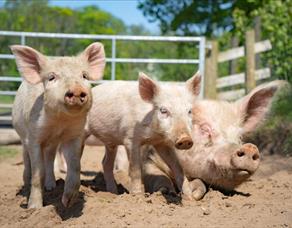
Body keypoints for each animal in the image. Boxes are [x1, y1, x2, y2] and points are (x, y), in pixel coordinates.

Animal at [12, 41, 107, 208]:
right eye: (51, 77)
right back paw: (26, 187)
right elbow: (38, 173)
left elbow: (75, 166)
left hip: (52, 145)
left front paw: (67, 202)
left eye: (84, 76)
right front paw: (34, 208)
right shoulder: (34, 137)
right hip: (23, 136)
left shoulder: (74, 136)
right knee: (27, 160)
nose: (77, 90)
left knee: (50, 158)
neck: (59, 123)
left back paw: (51, 186)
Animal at [116, 80, 282, 200]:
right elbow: (157, 177)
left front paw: (194, 192)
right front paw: (167, 191)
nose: (250, 148)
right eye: (205, 129)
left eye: (239, 136)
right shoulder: (149, 158)